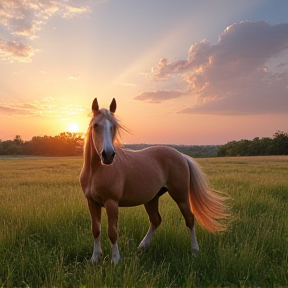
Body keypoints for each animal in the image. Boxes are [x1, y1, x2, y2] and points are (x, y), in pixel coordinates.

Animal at [80, 98, 228, 264]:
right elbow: (96, 230)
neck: (96, 171)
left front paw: (115, 260)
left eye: (114, 126)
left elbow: (112, 232)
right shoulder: (92, 202)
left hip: (181, 196)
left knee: (189, 219)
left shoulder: (111, 202)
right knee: (156, 220)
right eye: (95, 125)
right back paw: (143, 246)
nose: (108, 155)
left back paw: (194, 251)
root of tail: (181, 155)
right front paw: (95, 258)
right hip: (151, 199)